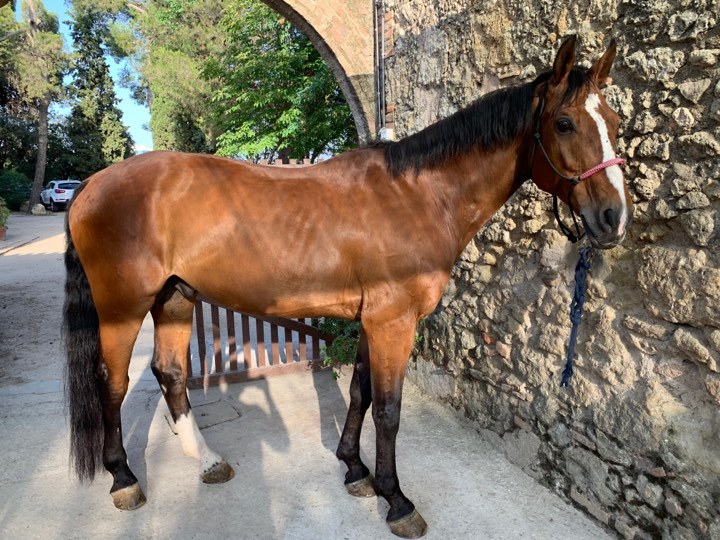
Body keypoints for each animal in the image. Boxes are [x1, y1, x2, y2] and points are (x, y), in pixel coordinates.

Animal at [64, 36, 631, 538]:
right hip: (122, 307)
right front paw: (396, 500)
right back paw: (124, 479)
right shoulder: (393, 322)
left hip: (176, 298)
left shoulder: (372, 320)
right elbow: (389, 409)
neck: (420, 196)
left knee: (171, 373)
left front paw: (354, 471)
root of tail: (91, 184)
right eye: (564, 123)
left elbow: (360, 389)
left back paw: (206, 461)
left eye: (616, 122)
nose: (614, 219)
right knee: (112, 383)